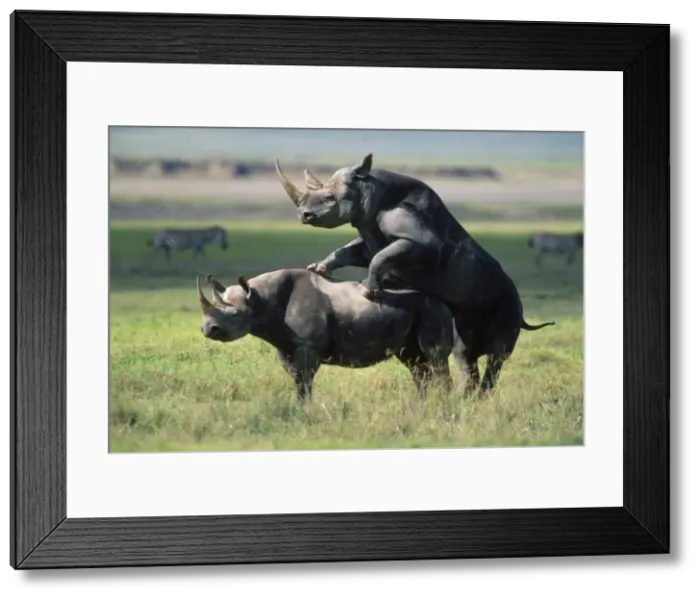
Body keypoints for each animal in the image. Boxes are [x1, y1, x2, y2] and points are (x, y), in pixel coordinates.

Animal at [196, 269, 454, 404]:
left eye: (235, 315)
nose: (208, 329)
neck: (260, 299)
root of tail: (443, 299)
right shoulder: (285, 346)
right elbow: (298, 379)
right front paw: (300, 407)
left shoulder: (308, 345)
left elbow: (305, 379)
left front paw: (306, 409)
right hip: (414, 310)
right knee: (415, 363)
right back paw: (424, 403)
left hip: (431, 307)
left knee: (435, 357)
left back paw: (444, 403)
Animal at [274, 154, 555, 396]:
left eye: (330, 198)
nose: (303, 215)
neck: (371, 189)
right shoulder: (369, 234)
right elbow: (352, 251)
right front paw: (318, 269)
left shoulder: (422, 242)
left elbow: (381, 256)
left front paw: (368, 290)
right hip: (469, 313)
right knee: (464, 352)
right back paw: (465, 398)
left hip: (509, 299)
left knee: (498, 354)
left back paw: (478, 396)